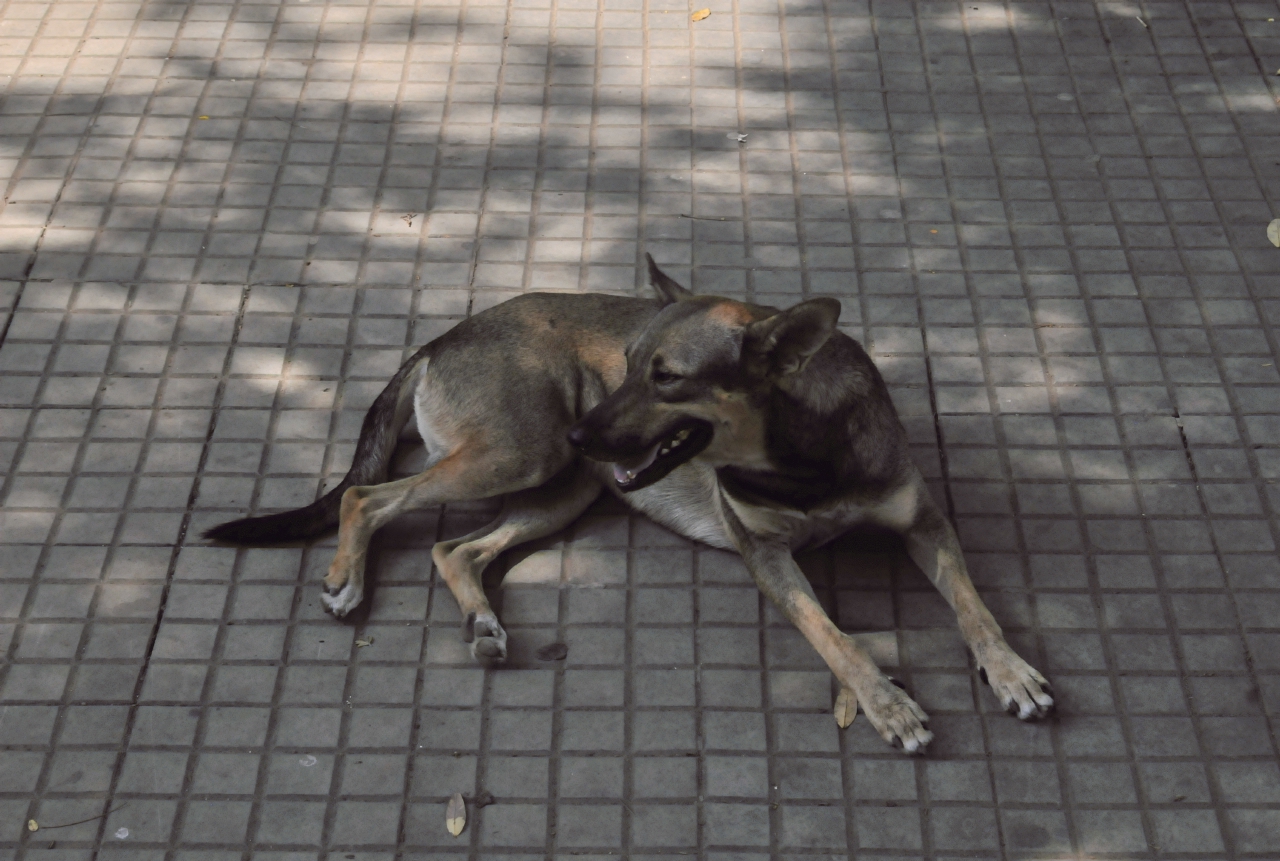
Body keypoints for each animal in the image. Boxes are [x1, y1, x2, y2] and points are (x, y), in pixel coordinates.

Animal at [204, 255, 1054, 752]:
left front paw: (1011, 670)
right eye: (630, 358)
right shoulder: (767, 557)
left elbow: (973, 605)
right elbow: (835, 635)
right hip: (524, 456)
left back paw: (482, 622)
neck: (804, 460)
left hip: (562, 484)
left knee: (454, 547)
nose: (586, 429)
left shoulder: (924, 522)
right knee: (366, 494)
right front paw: (887, 704)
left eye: (667, 376)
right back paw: (346, 578)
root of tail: (445, 334)